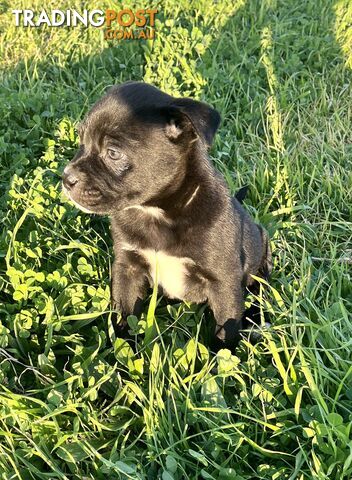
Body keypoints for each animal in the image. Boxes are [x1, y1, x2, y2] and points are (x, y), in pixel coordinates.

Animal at [62, 79, 272, 348]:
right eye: (81, 140)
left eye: (113, 153)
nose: (66, 178)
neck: (157, 213)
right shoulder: (127, 269)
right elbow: (123, 316)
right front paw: (122, 353)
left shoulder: (224, 283)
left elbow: (225, 333)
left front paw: (220, 359)